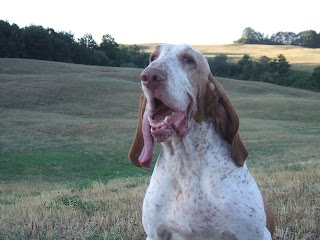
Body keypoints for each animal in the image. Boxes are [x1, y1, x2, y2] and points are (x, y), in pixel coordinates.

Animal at [129, 44, 274, 239]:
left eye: (188, 59)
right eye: (153, 57)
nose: (150, 76)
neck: (186, 163)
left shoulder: (250, 234)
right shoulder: (155, 234)